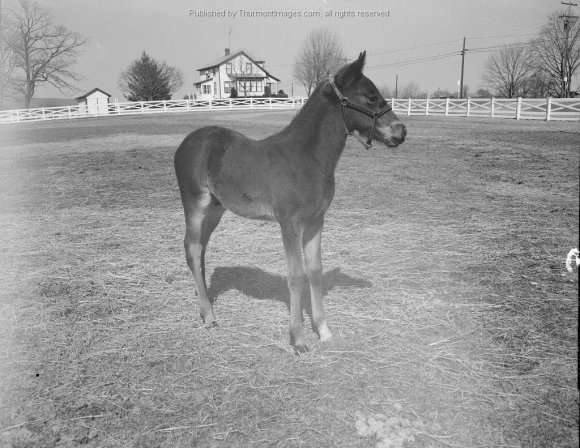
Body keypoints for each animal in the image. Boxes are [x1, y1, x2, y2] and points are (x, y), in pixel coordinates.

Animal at [174, 51, 406, 354]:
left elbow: (315, 271)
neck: (307, 157)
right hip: (195, 205)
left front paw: (324, 331)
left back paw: (205, 308)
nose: (401, 132)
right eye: (370, 96)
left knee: (200, 248)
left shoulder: (316, 220)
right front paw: (299, 339)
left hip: (216, 209)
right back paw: (209, 316)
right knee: (191, 247)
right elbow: (296, 275)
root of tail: (186, 143)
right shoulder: (290, 223)